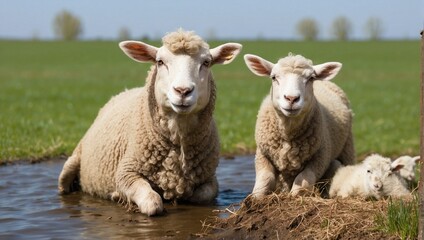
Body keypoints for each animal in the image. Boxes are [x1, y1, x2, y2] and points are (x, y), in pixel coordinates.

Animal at [57, 29, 242, 216]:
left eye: (206, 62)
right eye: (160, 62)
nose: (183, 91)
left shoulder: (210, 178)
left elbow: (203, 195)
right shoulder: (126, 173)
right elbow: (152, 203)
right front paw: (119, 196)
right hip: (72, 162)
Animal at [243, 53, 356, 197]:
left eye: (311, 78)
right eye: (274, 77)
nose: (291, 98)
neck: (288, 131)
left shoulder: (320, 158)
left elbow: (303, 179)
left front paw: (294, 197)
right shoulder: (263, 155)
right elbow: (265, 179)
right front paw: (255, 198)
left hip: (347, 149)